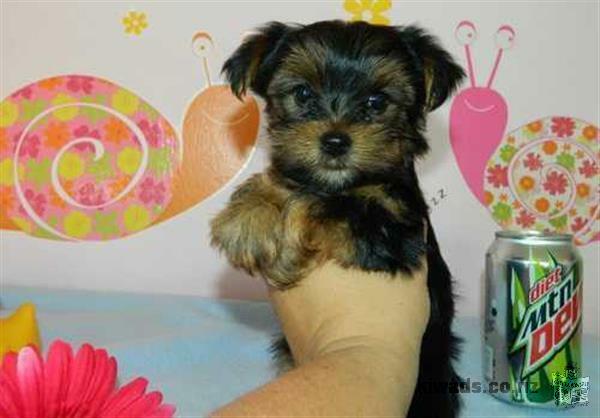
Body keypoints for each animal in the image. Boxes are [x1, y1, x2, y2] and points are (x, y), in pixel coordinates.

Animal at [211, 20, 464, 418]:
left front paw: (285, 252)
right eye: (302, 94)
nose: (334, 141)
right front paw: (250, 215)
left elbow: (321, 202)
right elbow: (290, 183)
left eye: (377, 102)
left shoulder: (394, 231)